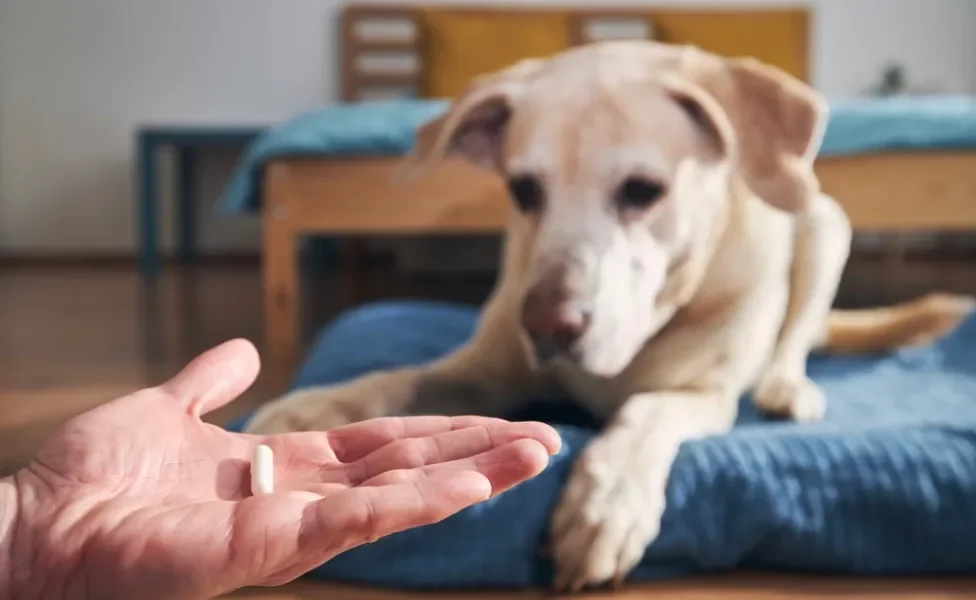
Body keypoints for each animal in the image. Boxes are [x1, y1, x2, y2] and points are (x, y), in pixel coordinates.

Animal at [246, 41, 976, 592]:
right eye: (524, 190)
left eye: (643, 191)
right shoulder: (485, 368)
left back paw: (788, 388)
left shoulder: (702, 393)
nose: (547, 326)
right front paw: (311, 407)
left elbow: (645, 412)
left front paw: (603, 505)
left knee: (798, 333)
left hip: (823, 221)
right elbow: (399, 379)